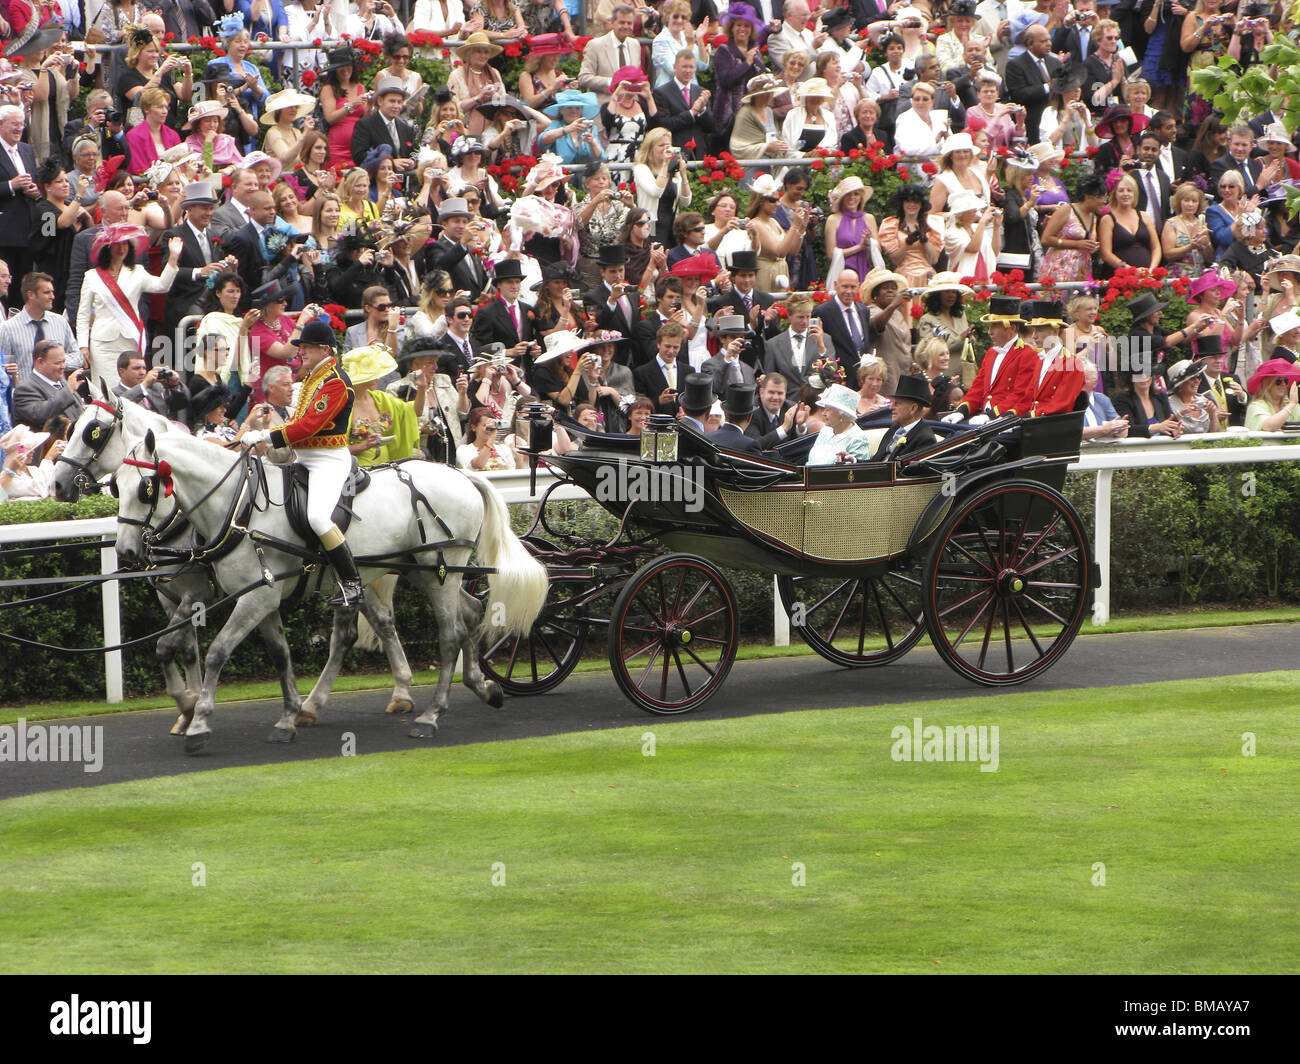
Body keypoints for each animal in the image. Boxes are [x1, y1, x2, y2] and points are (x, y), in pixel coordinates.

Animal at [113, 426, 553, 749]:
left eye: (145, 488)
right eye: (114, 485)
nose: (126, 551)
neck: (240, 506)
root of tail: (459, 473)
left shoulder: (252, 597)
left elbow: (217, 651)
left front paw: (199, 720)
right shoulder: (262, 597)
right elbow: (279, 654)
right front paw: (288, 716)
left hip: (439, 572)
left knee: (450, 634)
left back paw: (431, 715)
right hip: (421, 571)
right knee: (470, 614)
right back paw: (482, 687)